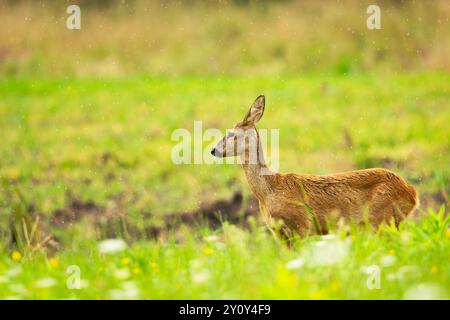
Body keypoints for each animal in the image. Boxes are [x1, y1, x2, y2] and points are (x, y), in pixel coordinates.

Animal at [211, 95, 418, 240]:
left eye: (231, 133)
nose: (213, 150)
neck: (268, 190)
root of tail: (412, 193)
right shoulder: (278, 233)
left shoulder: (301, 224)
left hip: (382, 220)